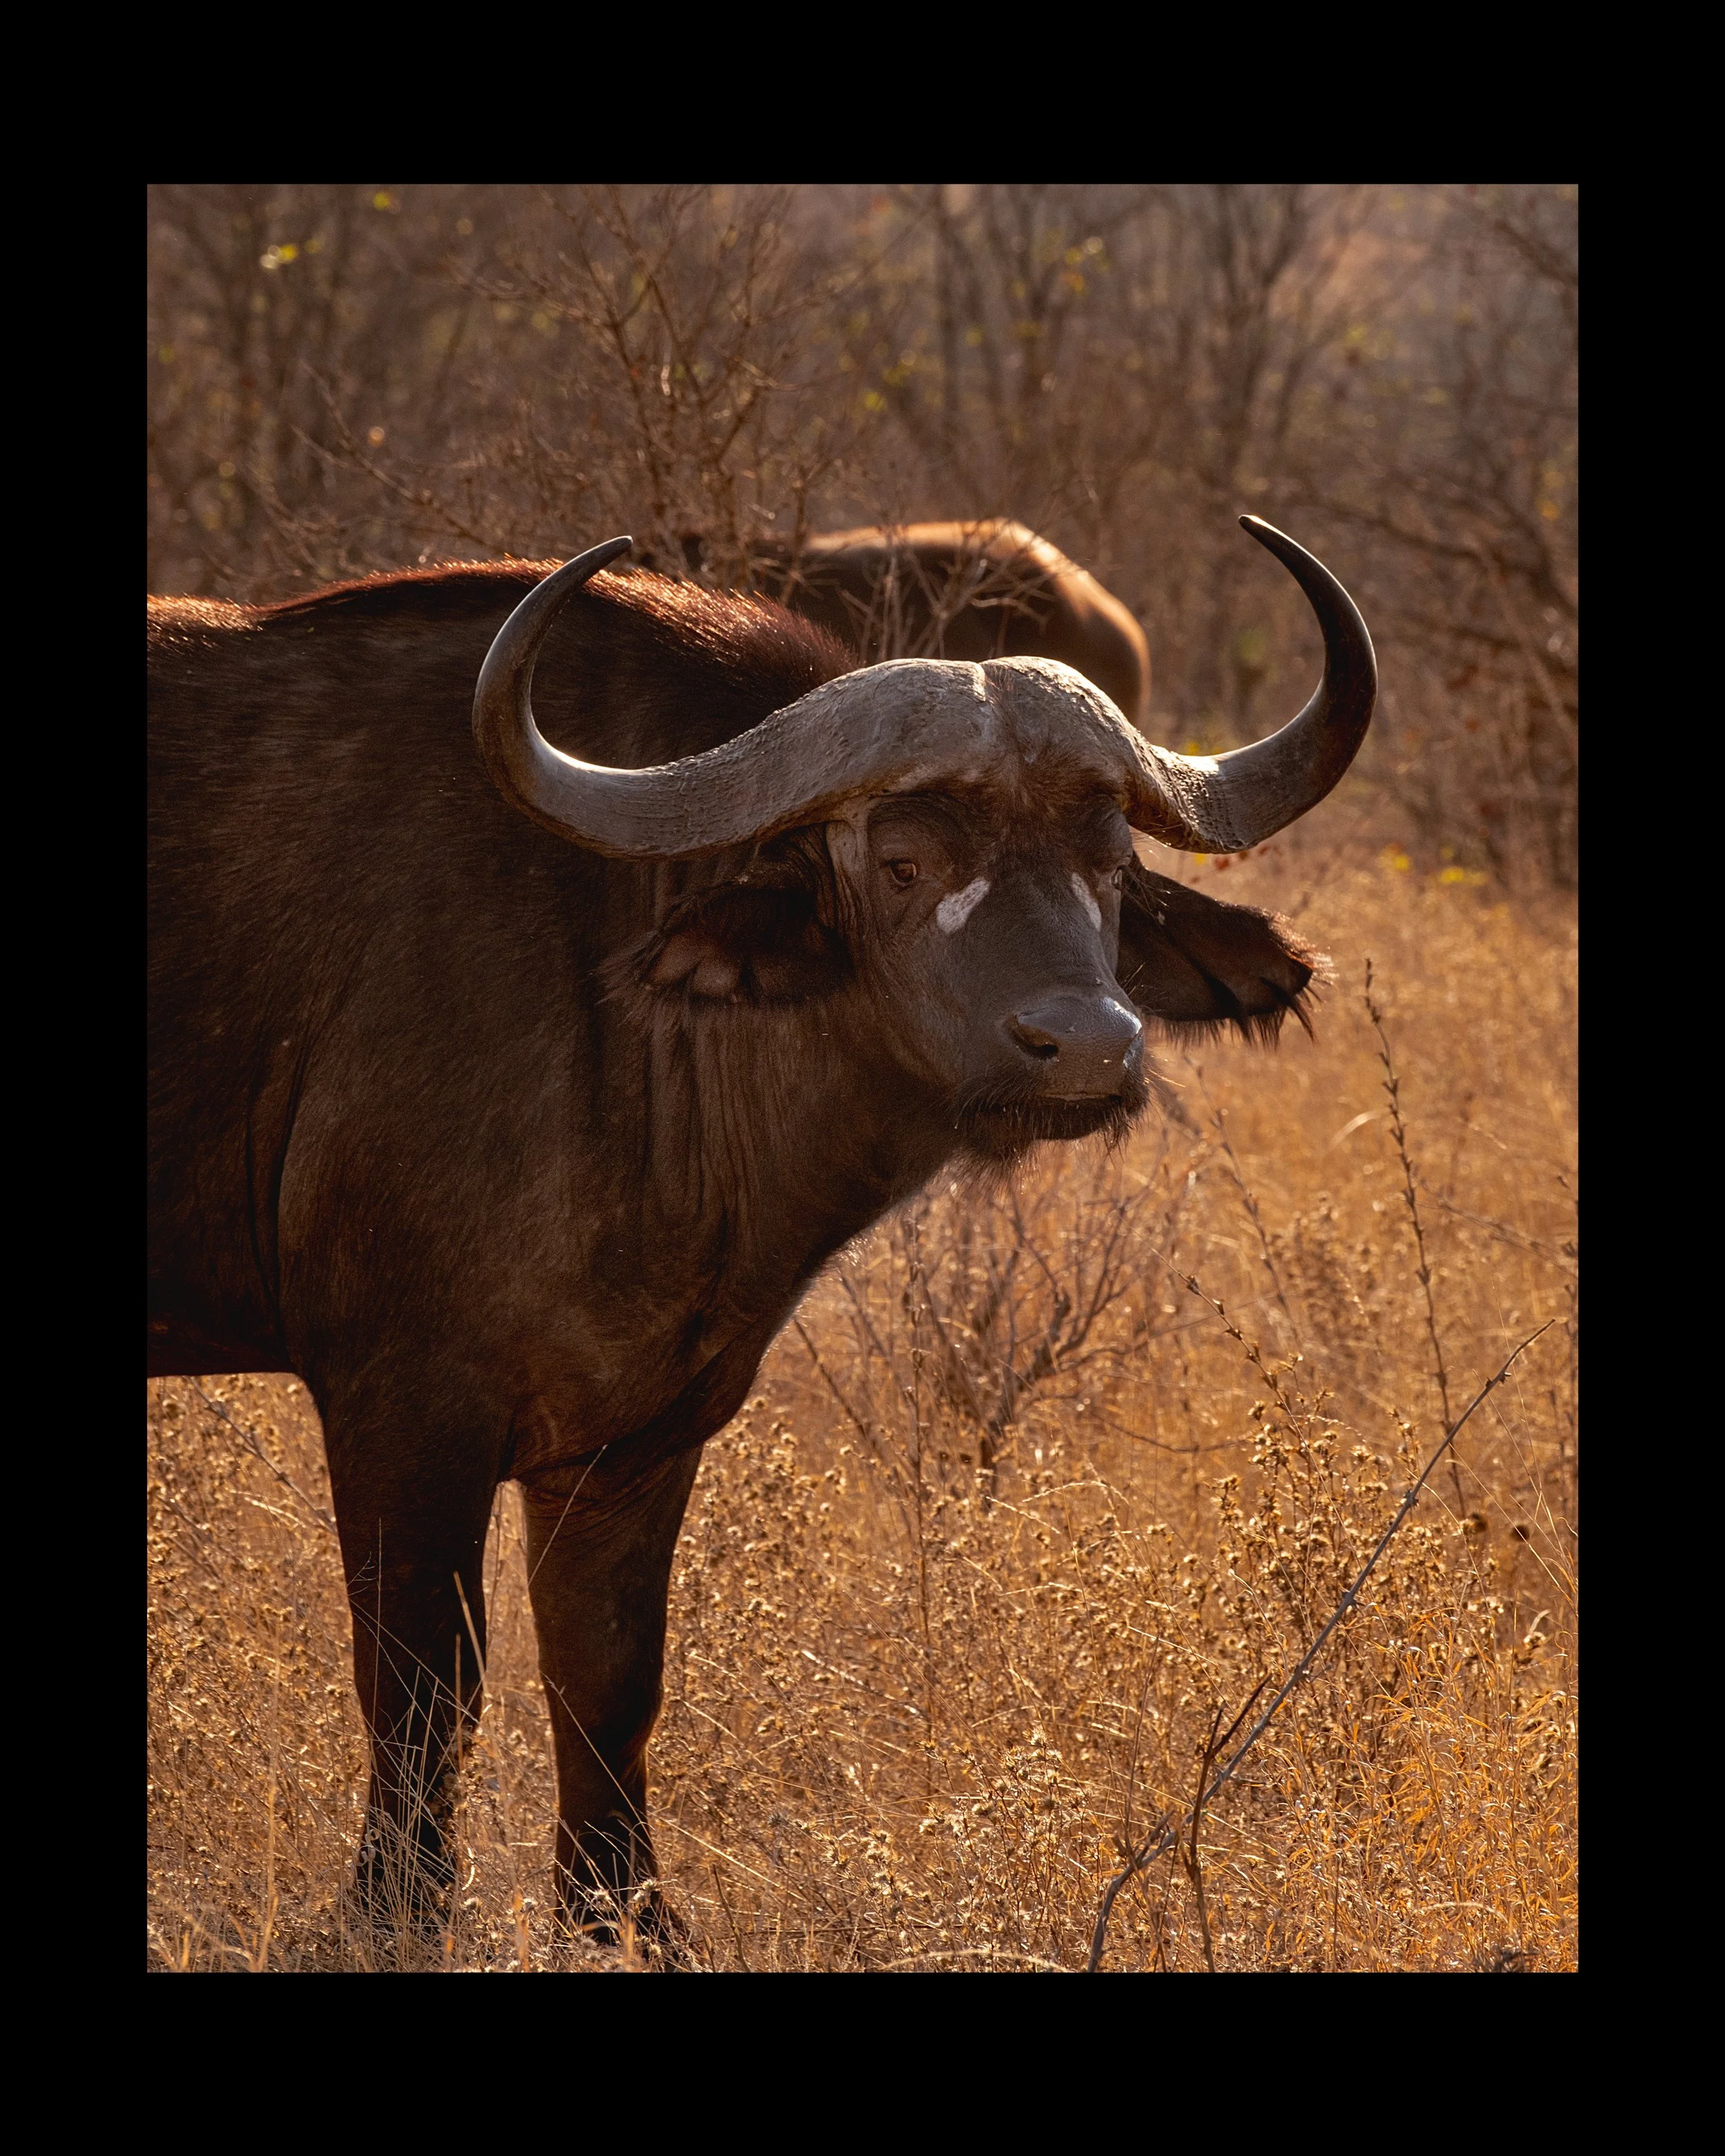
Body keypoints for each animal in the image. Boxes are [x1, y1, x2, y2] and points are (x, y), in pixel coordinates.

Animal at [147, 516, 1373, 1943]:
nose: (1086, 1049)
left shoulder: (634, 1440)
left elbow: (609, 1680)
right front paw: (399, 1911)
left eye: (1113, 868)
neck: (616, 991)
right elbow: (423, 1685)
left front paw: (621, 1912)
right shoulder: (400, 1408)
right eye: (904, 863)